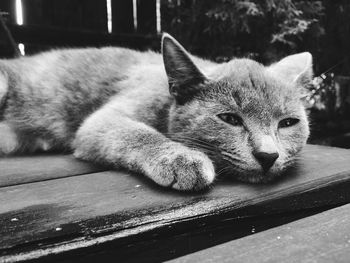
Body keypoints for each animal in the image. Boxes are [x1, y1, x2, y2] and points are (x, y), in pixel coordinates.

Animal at [0, 33, 312, 192]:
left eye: (288, 123)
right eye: (229, 119)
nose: (268, 155)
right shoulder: (101, 120)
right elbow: (137, 133)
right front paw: (182, 159)